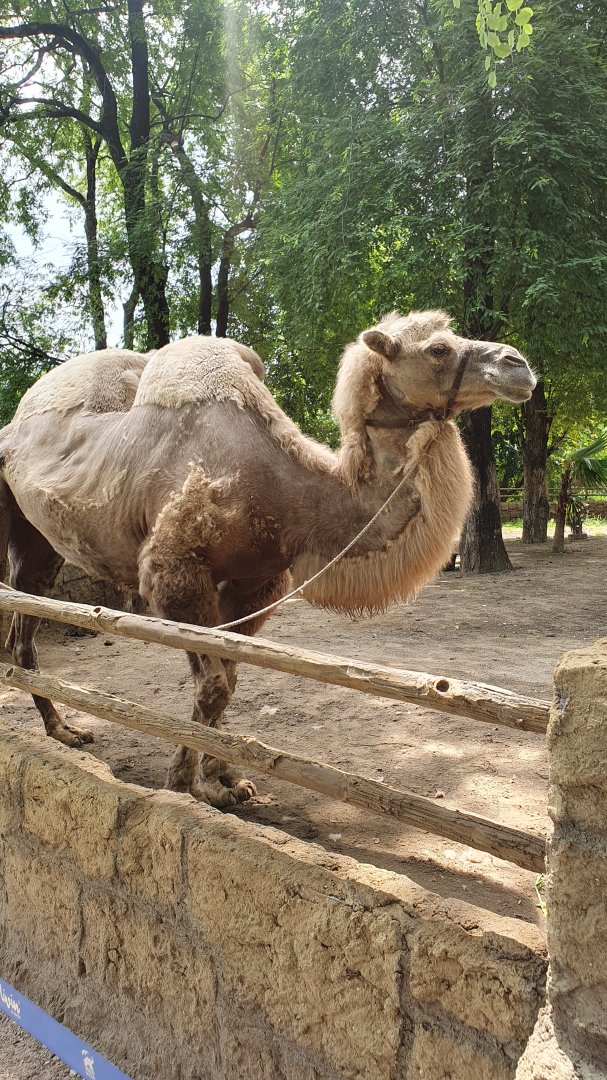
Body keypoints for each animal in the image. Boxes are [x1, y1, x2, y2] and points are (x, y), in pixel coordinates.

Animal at [0, 311, 535, 806]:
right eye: (438, 348)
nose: (519, 364)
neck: (287, 492)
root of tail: (12, 427)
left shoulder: (256, 581)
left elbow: (231, 675)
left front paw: (225, 781)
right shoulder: (175, 571)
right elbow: (213, 685)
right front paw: (184, 785)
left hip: (40, 541)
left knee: (25, 625)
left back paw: (63, 731)